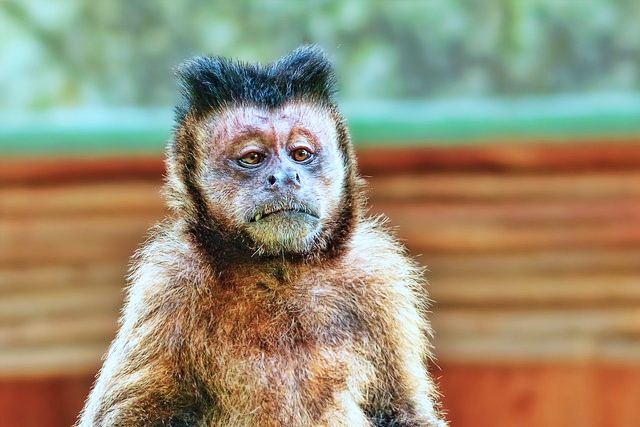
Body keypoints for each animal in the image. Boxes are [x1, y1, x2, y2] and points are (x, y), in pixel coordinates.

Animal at [76, 45, 444, 426]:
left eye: (301, 154)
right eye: (253, 158)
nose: (285, 177)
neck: (280, 271)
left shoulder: (378, 279)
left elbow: (402, 409)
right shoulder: (169, 283)